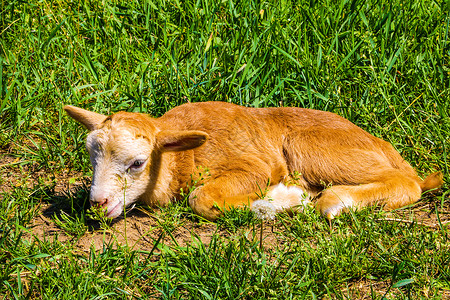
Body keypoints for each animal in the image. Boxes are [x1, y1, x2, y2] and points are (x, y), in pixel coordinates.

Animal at [64, 101, 442, 220]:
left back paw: (333, 201)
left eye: (137, 163)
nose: (98, 203)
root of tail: (386, 147)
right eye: (91, 158)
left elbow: (200, 198)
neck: (181, 159)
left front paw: (283, 200)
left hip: (314, 148)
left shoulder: (254, 166)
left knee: (407, 184)